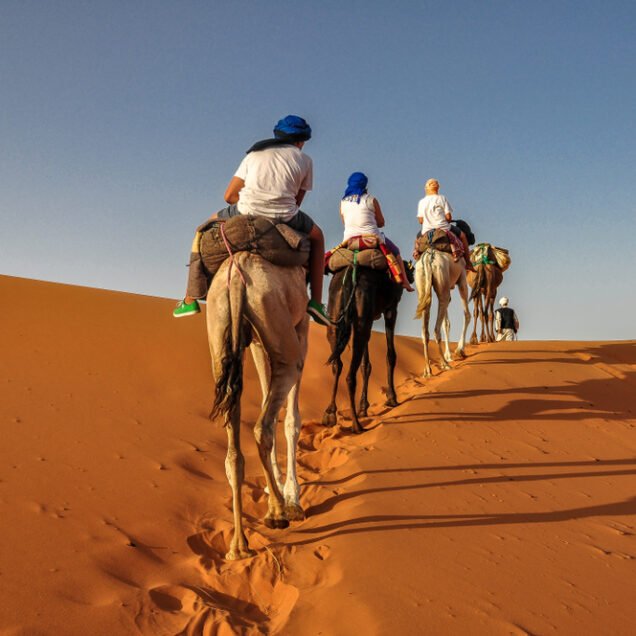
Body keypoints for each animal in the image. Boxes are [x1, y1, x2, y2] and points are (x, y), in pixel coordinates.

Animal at [207, 251, 310, 560]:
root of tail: (236, 279)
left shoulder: (255, 343)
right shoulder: (301, 327)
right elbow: (291, 420)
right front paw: (293, 496)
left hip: (220, 334)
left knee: (233, 452)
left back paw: (238, 546)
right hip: (280, 330)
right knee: (262, 426)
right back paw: (278, 511)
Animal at [322, 266, 402, 434]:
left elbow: (366, 365)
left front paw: (363, 407)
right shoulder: (391, 308)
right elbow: (390, 355)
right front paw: (392, 398)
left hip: (336, 313)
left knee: (337, 363)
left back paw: (330, 414)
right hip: (363, 311)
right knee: (350, 375)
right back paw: (356, 425)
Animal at [414, 248, 470, 378]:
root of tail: (428, 259)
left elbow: (447, 323)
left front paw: (449, 355)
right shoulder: (462, 277)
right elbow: (466, 315)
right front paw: (460, 350)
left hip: (423, 287)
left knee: (425, 331)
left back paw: (427, 370)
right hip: (442, 280)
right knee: (436, 328)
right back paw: (444, 364)